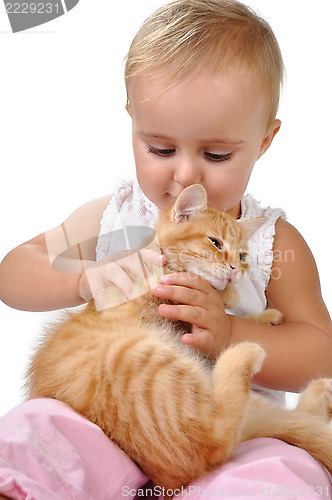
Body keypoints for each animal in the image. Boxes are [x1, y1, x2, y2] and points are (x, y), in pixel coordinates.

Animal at [27, 184, 332, 488]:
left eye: (242, 256)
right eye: (216, 243)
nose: (234, 270)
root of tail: (170, 478)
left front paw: (259, 314)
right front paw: (230, 294)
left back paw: (318, 393)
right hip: (137, 356)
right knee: (218, 439)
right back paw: (248, 354)